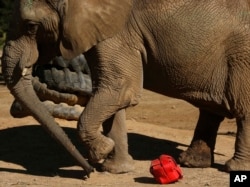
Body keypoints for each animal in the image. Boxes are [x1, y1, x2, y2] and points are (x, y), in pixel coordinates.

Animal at [1, 0, 250, 175]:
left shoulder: (119, 33)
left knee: (243, 111)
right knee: (211, 111)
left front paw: (101, 151)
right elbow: (111, 90)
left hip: (242, 57)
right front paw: (115, 168)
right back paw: (190, 163)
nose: (88, 173)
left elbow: (119, 88)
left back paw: (234, 168)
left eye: (31, 27)